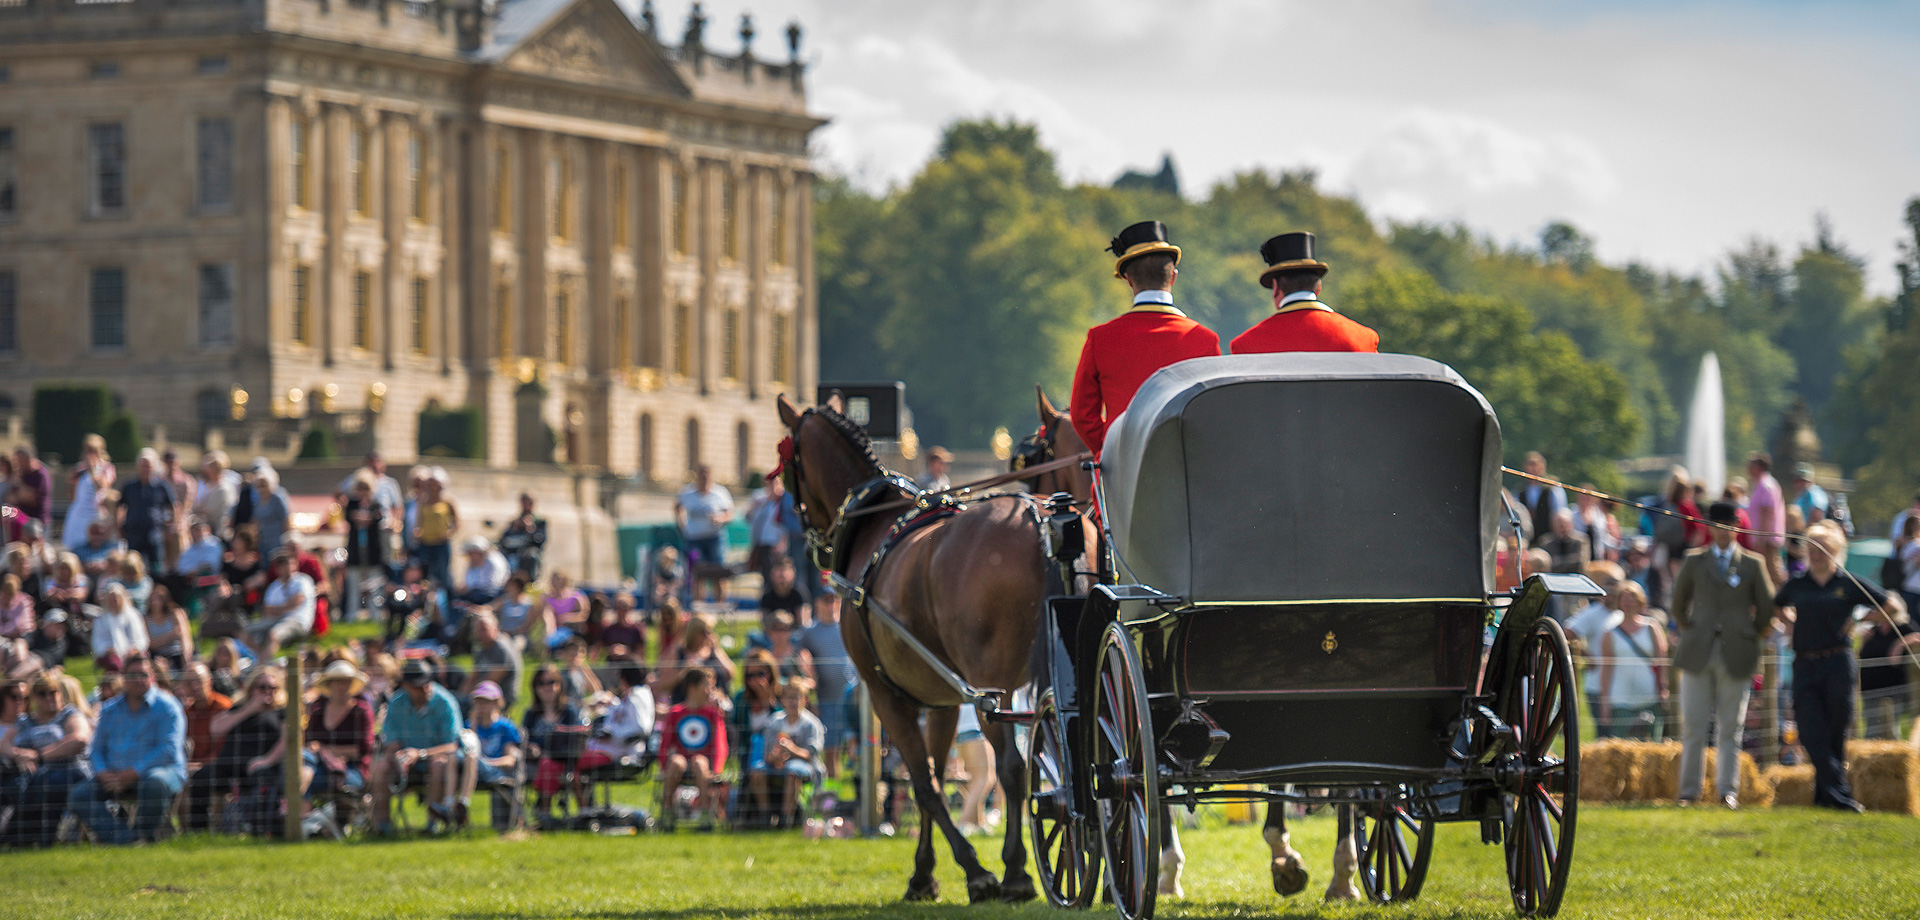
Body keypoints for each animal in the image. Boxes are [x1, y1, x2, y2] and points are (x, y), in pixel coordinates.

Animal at [771, 395, 1044, 906]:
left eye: (785, 468)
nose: (813, 547)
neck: (876, 524)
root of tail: (1037, 520)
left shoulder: (886, 694)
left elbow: (924, 784)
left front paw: (971, 870)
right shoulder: (942, 700)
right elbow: (934, 774)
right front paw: (925, 872)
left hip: (992, 688)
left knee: (1012, 768)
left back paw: (1016, 870)